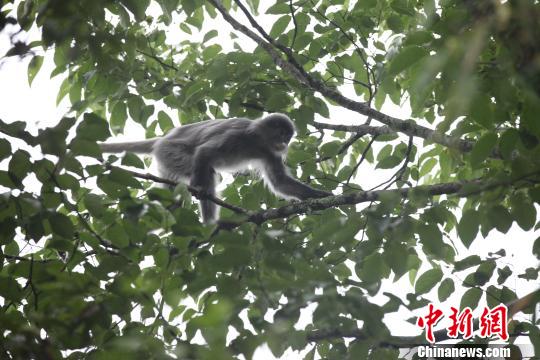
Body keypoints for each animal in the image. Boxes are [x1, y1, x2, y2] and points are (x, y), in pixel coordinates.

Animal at [99, 114, 332, 224]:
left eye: (288, 136)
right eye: (282, 133)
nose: (285, 143)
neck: (257, 141)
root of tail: (162, 139)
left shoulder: (269, 152)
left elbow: (279, 182)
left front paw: (319, 195)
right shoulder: (239, 135)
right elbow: (205, 151)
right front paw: (197, 186)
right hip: (172, 153)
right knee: (206, 170)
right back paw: (209, 222)